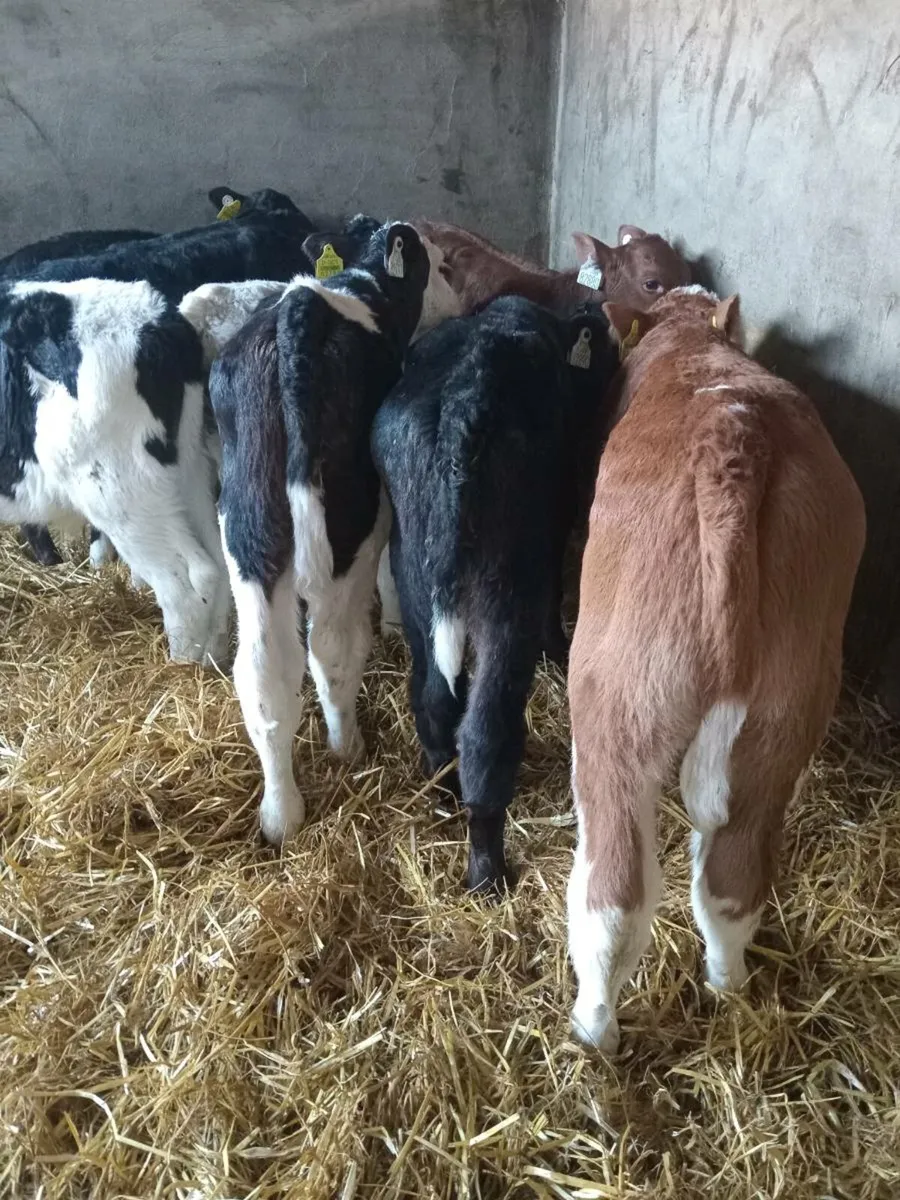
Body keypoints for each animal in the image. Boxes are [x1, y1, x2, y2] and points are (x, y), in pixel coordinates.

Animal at [210, 220, 461, 843]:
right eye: (437, 264)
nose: (455, 304)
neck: (360, 284)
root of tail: (301, 313)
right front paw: (394, 623)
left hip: (247, 529)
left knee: (263, 672)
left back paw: (281, 814)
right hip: (351, 526)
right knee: (332, 648)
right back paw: (346, 747)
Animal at [371, 295, 619, 893]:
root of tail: (469, 397)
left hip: (413, 576)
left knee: (434, 698)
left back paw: (441, 790)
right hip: (507, 596)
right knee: (487, 730)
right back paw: (487, 871)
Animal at [566, 285, 866, 1052]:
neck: (690, 345)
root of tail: (736, 436)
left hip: (616, 701)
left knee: (615, 892)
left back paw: (593, 1024)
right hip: (785, 710)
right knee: (733, 875)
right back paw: (727, 982)